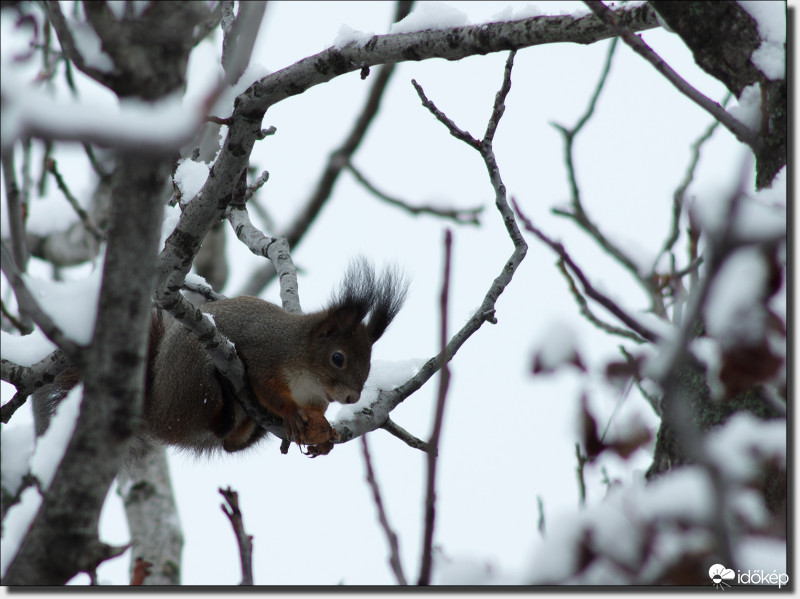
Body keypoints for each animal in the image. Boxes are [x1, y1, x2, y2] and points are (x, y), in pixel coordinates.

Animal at [30, 262, 406, 460]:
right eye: (337, 358)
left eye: (369, 361)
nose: (352, 398)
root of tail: (154, 412)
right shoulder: (265, 356)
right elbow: (268, 389)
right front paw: (289, 414)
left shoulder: (314, 398)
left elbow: (317, 414)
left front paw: (324, 435)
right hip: (196, 379)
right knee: (218, 424)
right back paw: (227, 393)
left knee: (229, 442)